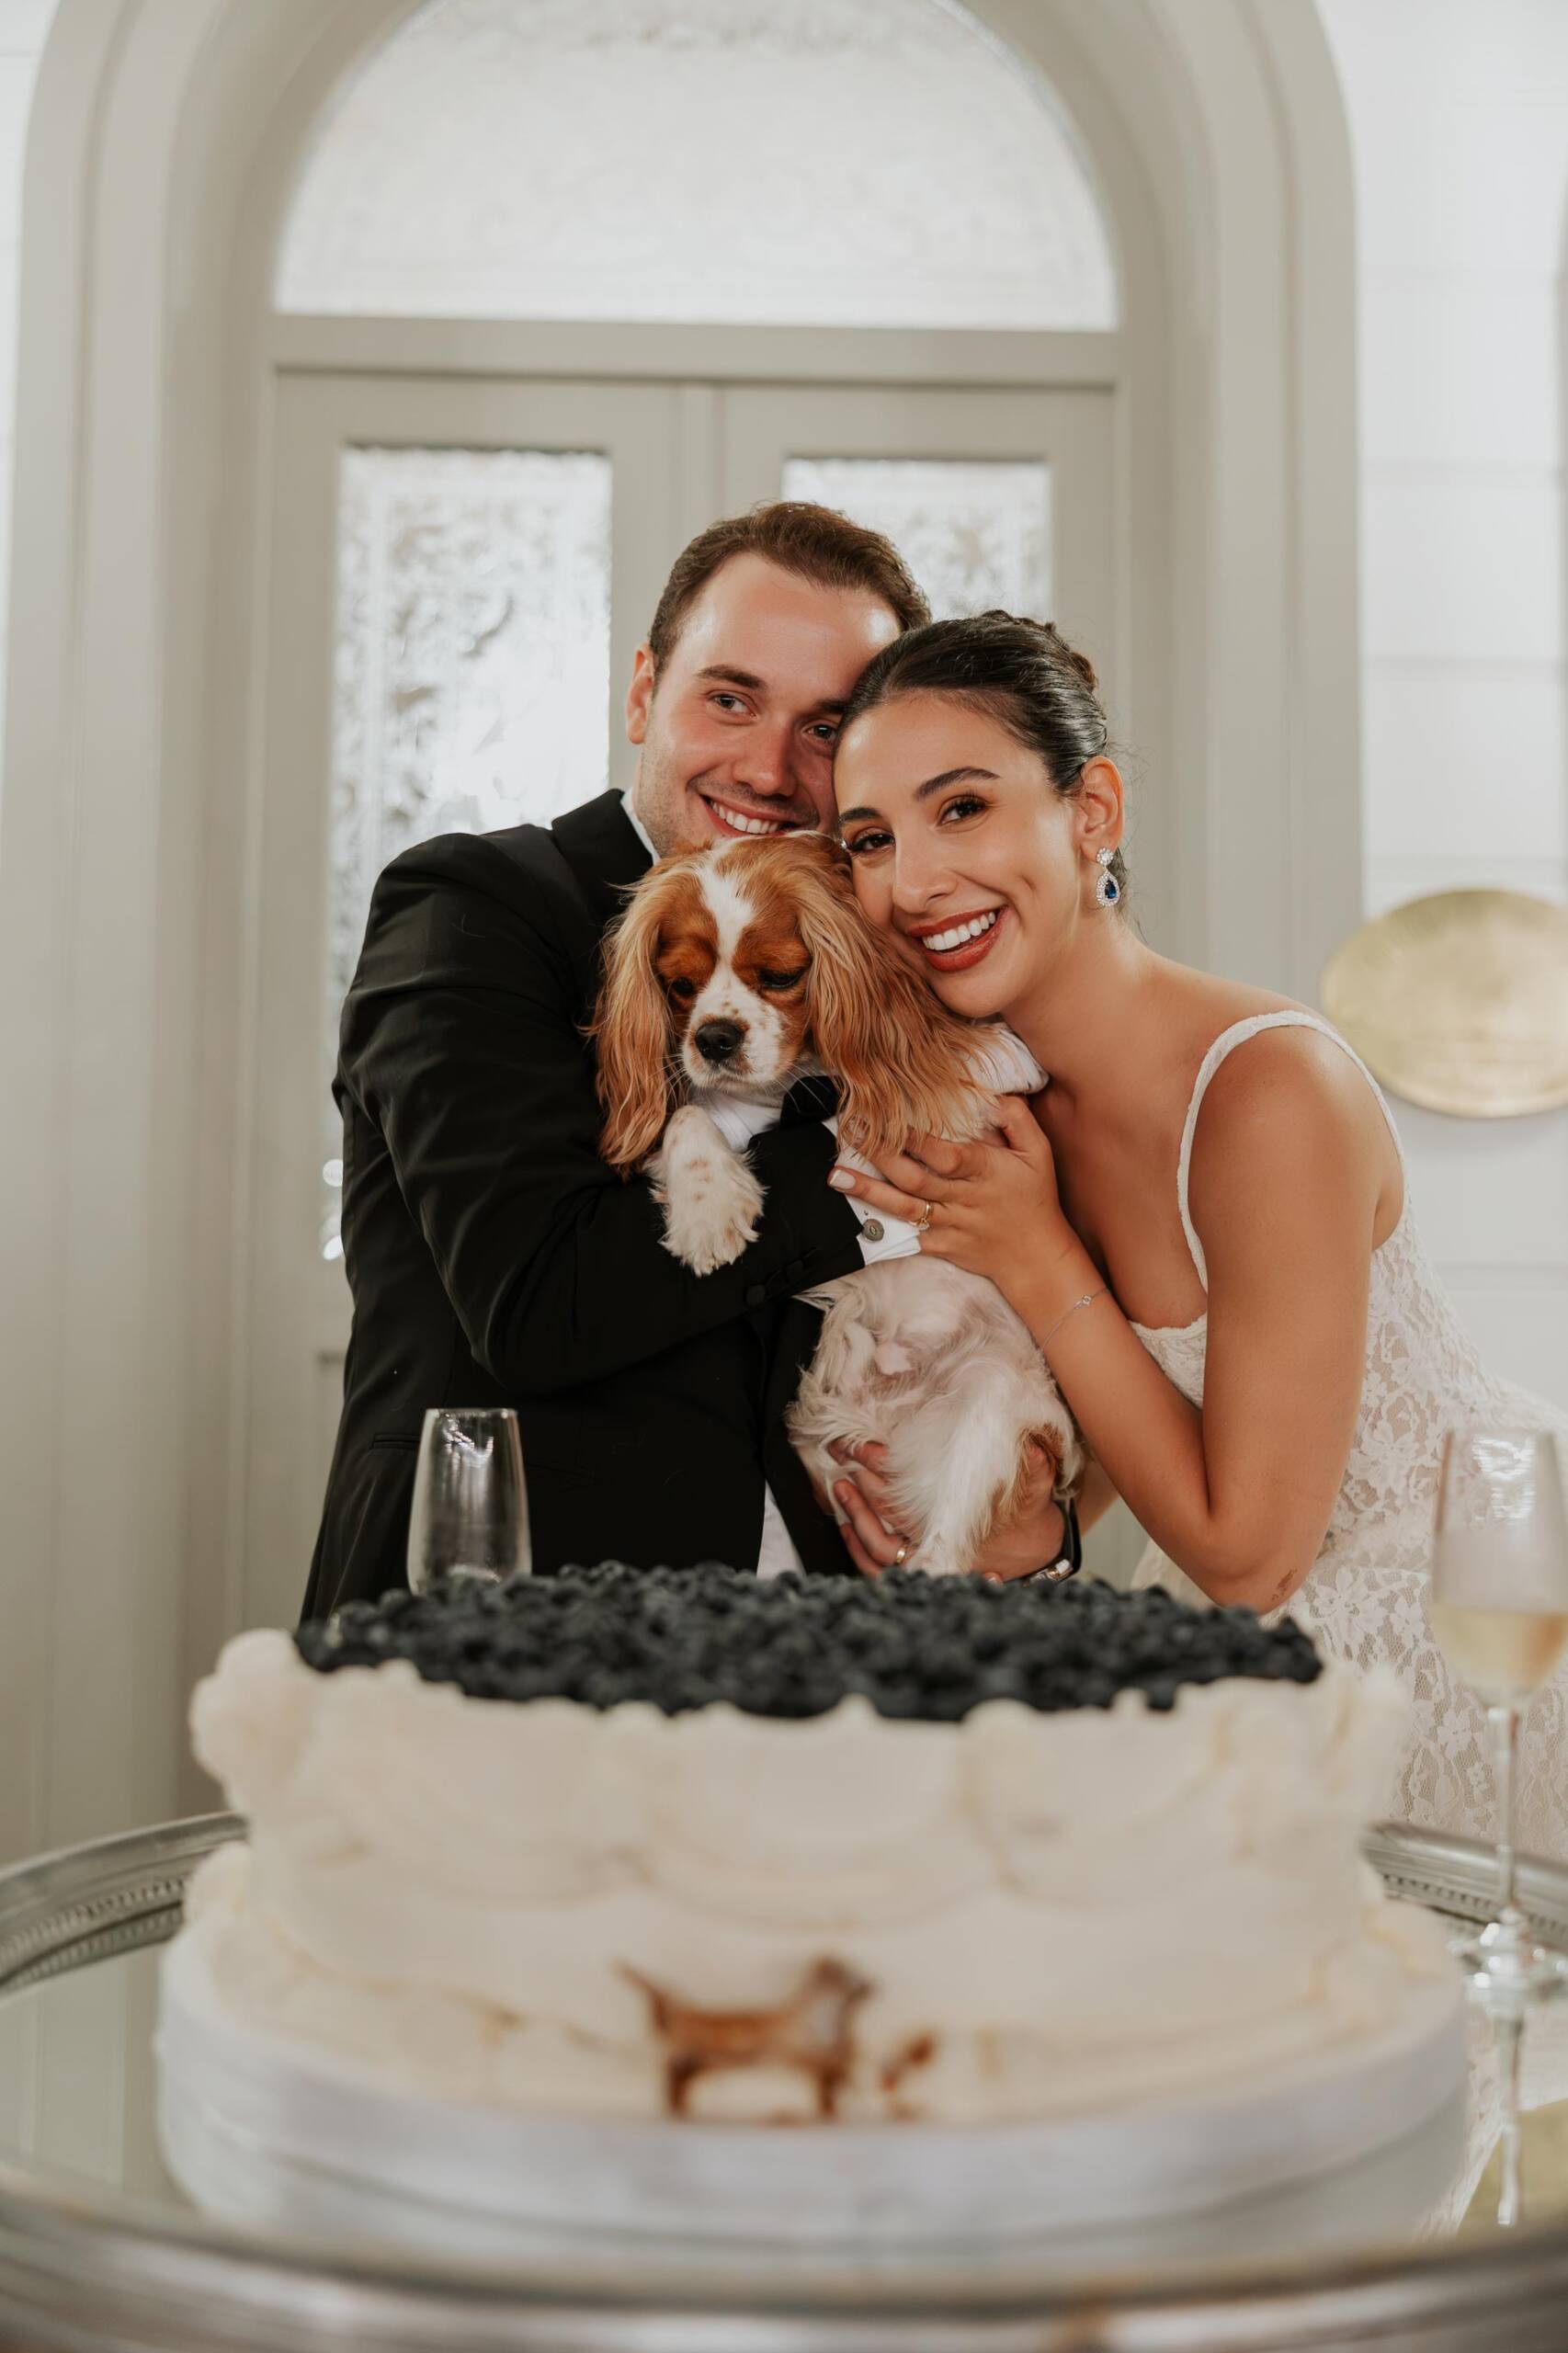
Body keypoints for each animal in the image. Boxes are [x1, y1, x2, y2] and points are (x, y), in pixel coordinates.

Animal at [593, 831, 1080, 1575]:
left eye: (780, 976)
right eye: (679, 987)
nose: (714, 1038)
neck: (792, 1082)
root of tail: (883, 1414)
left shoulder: (987, 1058)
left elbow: (908, 1095)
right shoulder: (713, 1103)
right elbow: (687, 1116)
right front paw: (709, 1209)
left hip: (991, 1395)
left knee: (946, 1543)